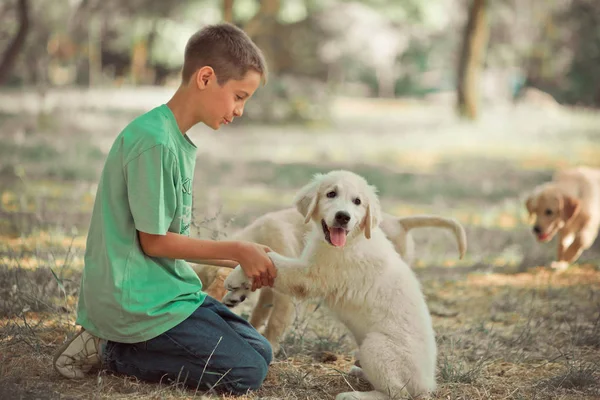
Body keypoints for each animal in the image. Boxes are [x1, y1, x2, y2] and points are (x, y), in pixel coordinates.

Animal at [195, 189, 466, 354]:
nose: (231, 299)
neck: (257, 236)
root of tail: (400, 222)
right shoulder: (269, 287)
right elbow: (260, 312)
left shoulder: (286, 294)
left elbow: (275, 322)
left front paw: (270, 345)